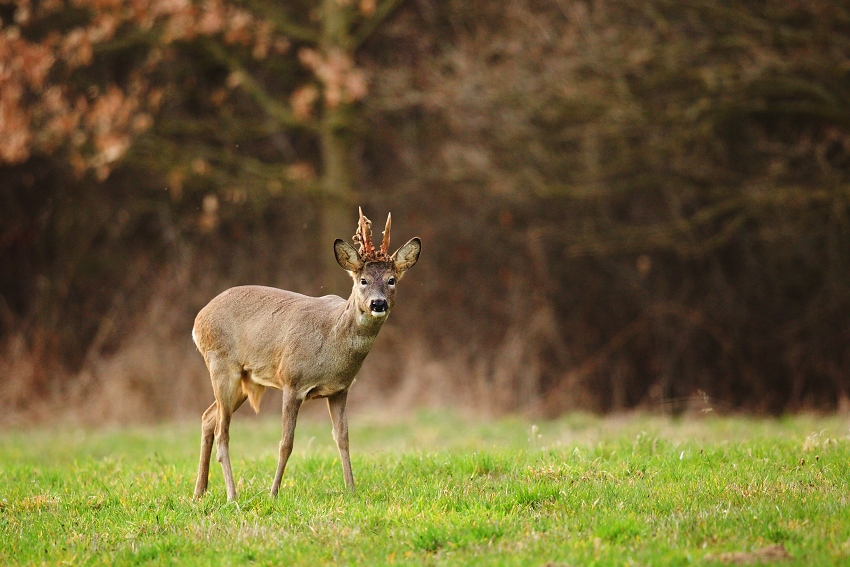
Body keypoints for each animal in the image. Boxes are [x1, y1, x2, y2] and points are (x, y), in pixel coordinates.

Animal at [191, 208, 421, 501]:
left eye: (391, 280)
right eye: (363, 280)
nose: (377, 303)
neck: (332, 343)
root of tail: (199, 319)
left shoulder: (340, 389)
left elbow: (343, 438)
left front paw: (351, 490)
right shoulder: (292, 381)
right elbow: (286, 443)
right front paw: (273, 493)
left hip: (244, 378)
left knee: (208, 418)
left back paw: (199, 492)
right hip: (221, 363)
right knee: (222, 431)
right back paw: (232, 495)